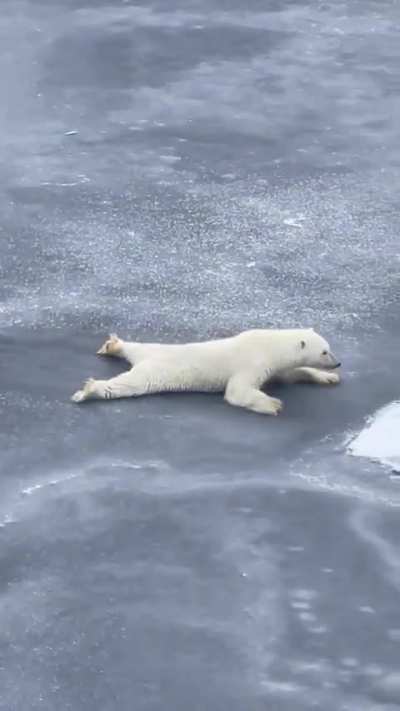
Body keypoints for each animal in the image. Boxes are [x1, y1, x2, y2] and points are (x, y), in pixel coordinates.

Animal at [71, 328, 341, 416]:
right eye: (325, 351)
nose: (337, 363)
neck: (269, 344)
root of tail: (145, 360)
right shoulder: (251, 361)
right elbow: (237, 391)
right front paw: (273, 404)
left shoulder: (272, 365)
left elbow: (290, 373)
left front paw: (329, 377)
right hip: (153, 372)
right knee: (127, 385)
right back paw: (88, 390)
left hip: (151, 349)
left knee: (135, 346)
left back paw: (113, 345)